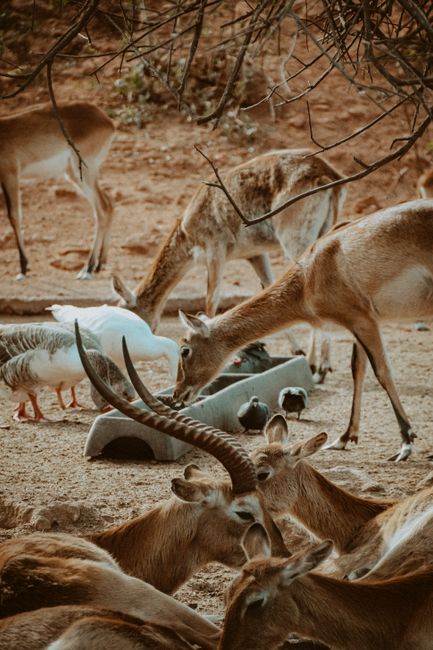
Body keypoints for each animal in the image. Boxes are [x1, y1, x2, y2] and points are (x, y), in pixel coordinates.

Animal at [0, 101, 115, 280]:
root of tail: (107, 121)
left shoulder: (10, 174)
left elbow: (14, 217)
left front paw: (23, 269)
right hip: (74, 174)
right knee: (108, 204)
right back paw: (98, 264)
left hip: (82, 172)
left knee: (103, 207)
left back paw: (87, 269)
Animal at [113, 148, 346, 379]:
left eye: (129, 317)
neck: (188, 237)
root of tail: (330, 177)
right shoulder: (254, 253)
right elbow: (269, 287)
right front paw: (296, 350)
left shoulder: (215, 246)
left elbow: (212, 297)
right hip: (326, 228)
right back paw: (324, 364)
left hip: (294, 234)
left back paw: (315, 366)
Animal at [174, 198, 433, 462]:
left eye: (184, 349)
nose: (177, 395)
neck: (308, 277)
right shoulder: (360, 323)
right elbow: (357, 370)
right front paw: (344, 438)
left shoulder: (362, 321)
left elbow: (382, 372)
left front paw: (405, 443)